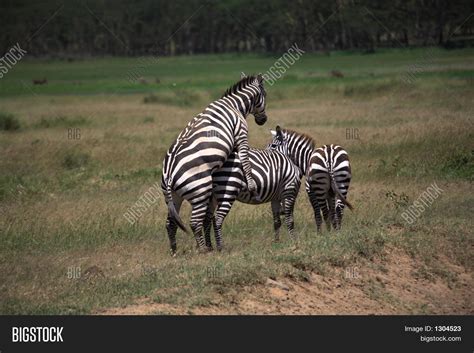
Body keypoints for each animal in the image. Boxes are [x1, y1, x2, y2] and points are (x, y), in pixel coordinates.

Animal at [161, 75, 266, 256]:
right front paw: (252, 185)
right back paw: (203, 249)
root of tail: (169, 174)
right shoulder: (241, 134)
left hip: (173, 197)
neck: (234, 105)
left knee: (171, 223)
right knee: (195, 222)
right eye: (265, 95)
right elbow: (245, 160)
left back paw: (174, 251)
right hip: (200, 189)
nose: (264, 120)